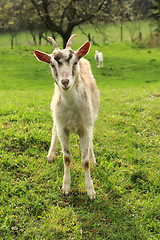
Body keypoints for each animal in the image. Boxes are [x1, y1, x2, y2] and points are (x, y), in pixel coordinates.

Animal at [34, 33, 100, 199]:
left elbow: (85, 161)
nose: (65, 82)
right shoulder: (62, 126)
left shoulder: (85, 127)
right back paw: (50, 155)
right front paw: (66, 187)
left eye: (74, 62)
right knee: (53, 131)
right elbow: (67, 157)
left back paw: (93, 158)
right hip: (55, 112)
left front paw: (91, 191)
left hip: (92, 116)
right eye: (52, 64)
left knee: (91, 138)